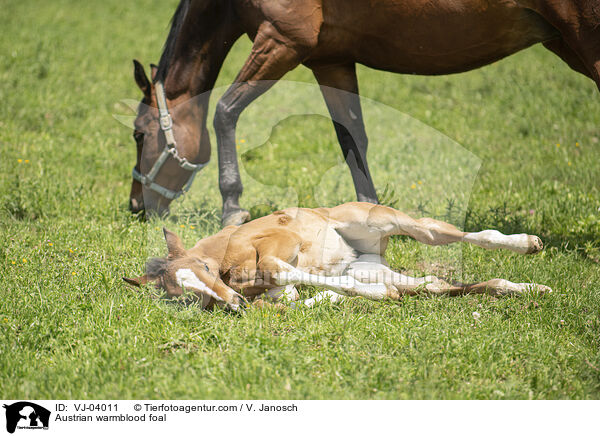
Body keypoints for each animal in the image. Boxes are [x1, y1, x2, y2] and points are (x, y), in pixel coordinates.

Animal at [124, 202, 552, 310]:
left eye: (204, 269)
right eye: (183, 295)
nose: (232, 304)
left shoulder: (279, 240)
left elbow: (279, 270)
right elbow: (291, 294)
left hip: (383, 220)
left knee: (441, 232)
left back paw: (528, 243)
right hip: (378, 268)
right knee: (436, 285)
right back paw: (529, 289)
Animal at [130, 0, 600, 225]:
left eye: (138, 134)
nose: (135, 206)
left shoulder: (283, 41)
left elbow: (225, 112)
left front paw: (232, 207)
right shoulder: (330, 60)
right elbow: (352, 137)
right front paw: (369, 214)